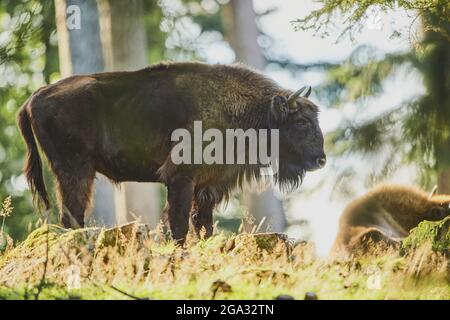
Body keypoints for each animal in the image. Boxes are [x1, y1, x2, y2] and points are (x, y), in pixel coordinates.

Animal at [17, 62, 326, 242]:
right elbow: (179, 223)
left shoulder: (209, 186)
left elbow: (203, 224)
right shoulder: (181, 179)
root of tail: (34, 98)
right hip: (75, 170)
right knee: (72, 213)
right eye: (301, 121)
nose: (320, 159)